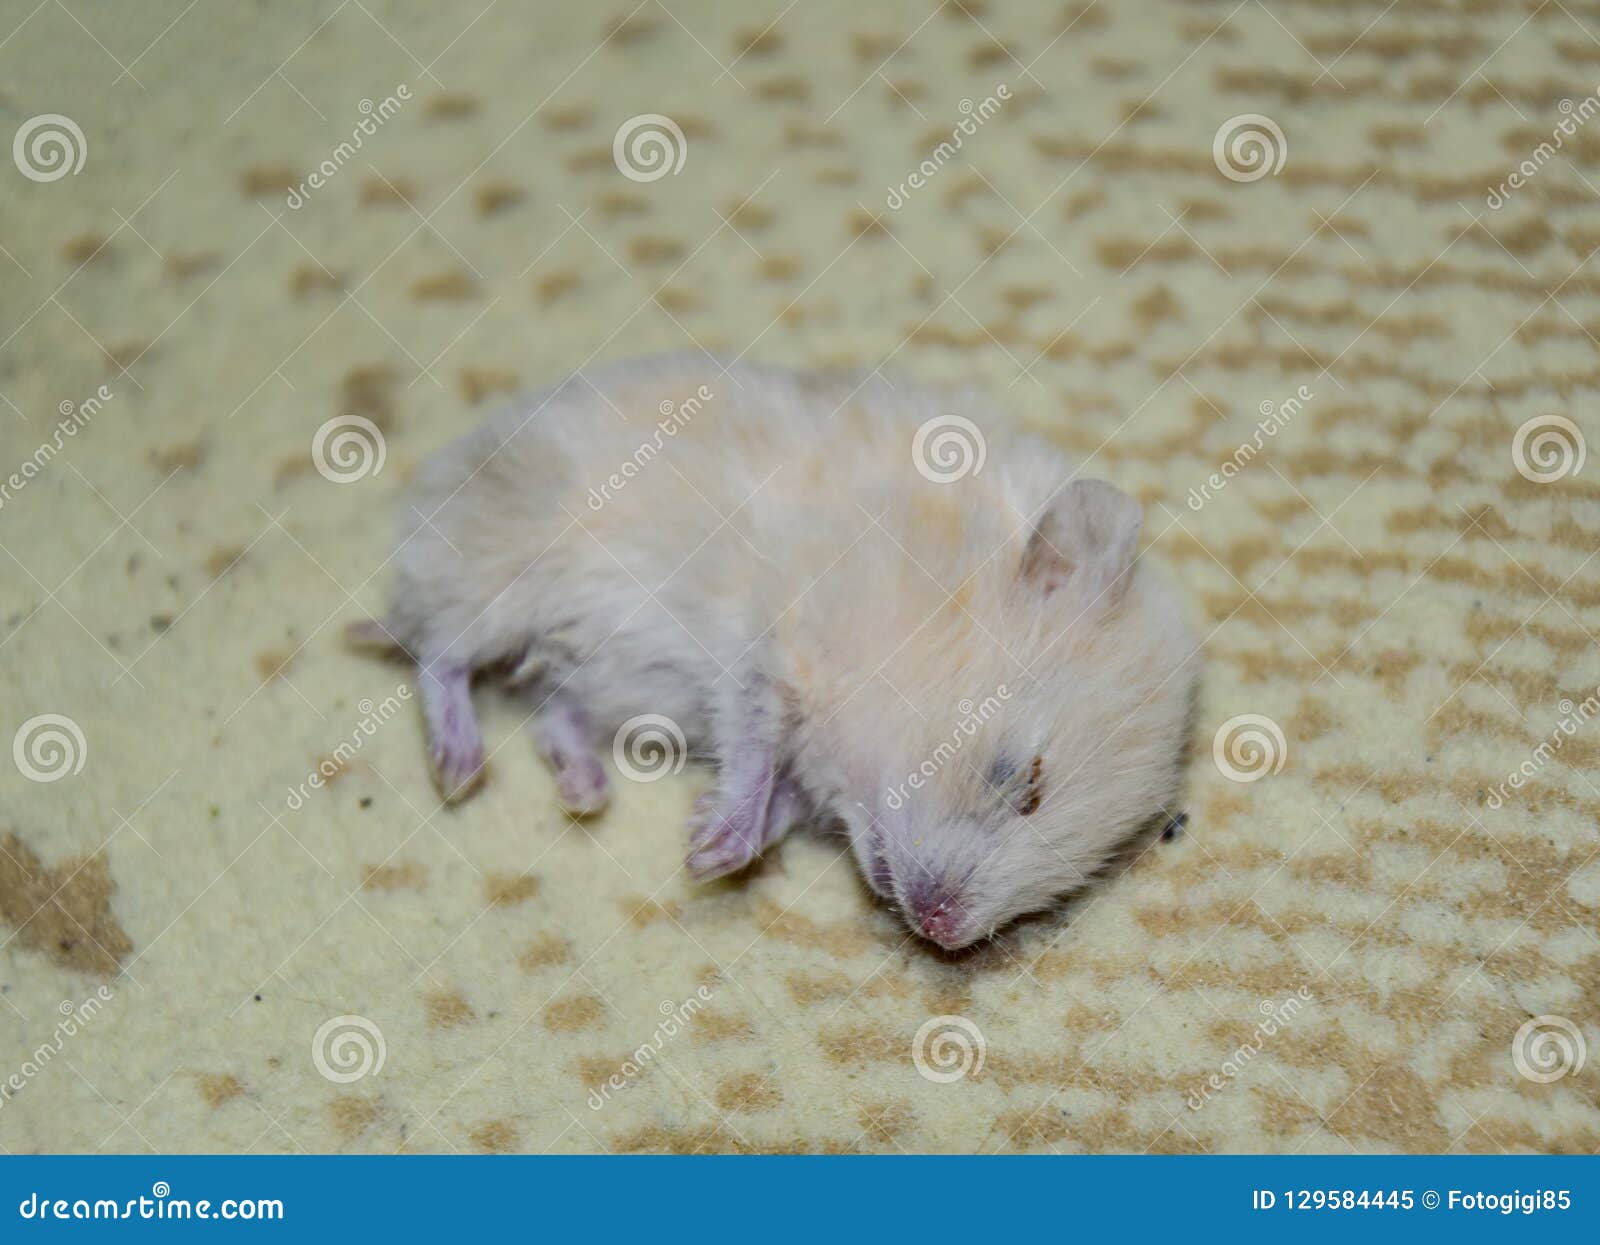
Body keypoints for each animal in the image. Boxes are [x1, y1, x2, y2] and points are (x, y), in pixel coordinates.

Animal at [350, 353, 1203, 947]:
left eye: (1086, 865)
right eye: (1020, 777)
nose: (941, 934)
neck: (921, 594)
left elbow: (784, 790)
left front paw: (722, 835)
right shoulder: (771, 644)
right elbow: (756, 744)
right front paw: (708, 850)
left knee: (549, 709)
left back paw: (585, 789)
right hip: (499, 583)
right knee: (439, 654)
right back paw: (459, 765)